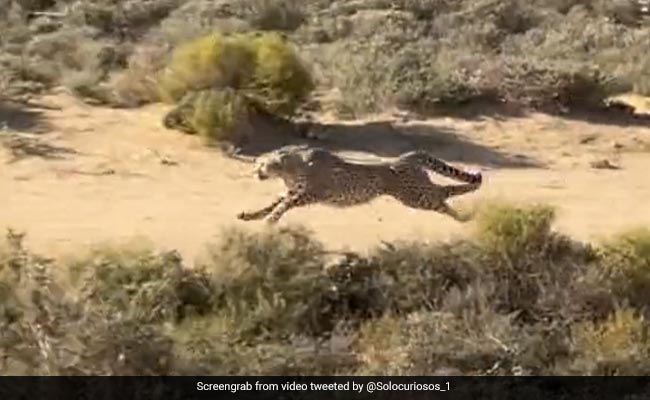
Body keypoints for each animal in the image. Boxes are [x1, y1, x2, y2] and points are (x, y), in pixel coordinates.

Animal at [236, 144, 483, 224]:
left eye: (261, 165)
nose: (254, 173)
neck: (290, 164)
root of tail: (407, 155)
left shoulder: (311, 193)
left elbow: (283, 205)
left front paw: (271, 219)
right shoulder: (293, 191)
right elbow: (274, 202)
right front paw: (251, 215)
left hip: (413, 196)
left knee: (442, 193)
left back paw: (465, 213)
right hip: (414, 194)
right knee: (442, 193)